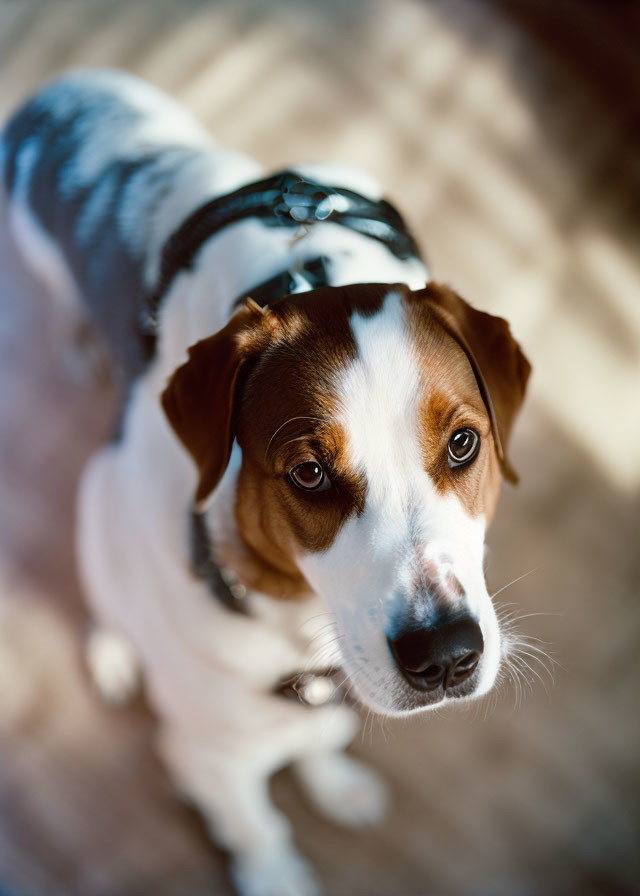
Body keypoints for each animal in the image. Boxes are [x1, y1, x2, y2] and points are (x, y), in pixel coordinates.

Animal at [1, 70, 528, 896]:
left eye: (464, 443)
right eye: (308, 472)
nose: (445, 656)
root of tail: (63, 92)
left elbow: (318, 736)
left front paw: (335, 782)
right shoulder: (210, 753)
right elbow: (256, 824)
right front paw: (275, 868)